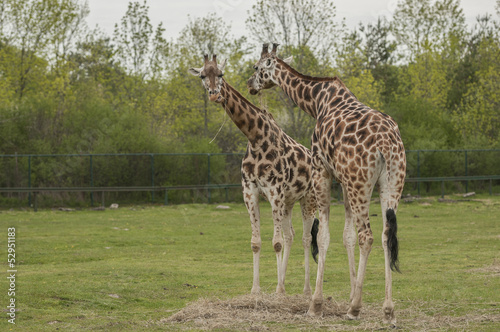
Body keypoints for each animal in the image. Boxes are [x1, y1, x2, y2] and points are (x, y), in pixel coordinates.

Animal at [188, 54, 320, 296]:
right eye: (202, 75)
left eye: (220, 73)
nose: (214, 94)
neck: (256, 137)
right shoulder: (250, 192)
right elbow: (256, 242)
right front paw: (257, 290)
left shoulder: (274, 191)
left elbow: (275, 242)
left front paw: (277, 290)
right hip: (288, 202)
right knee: (290, 235)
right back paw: (282, 284)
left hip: (308, 199)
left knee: (306, 238)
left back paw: (306, 290)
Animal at [246, 44, 406, 324]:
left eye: (257, 67)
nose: (250, 84)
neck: (317, 101)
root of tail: (386, 144)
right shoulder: (342, 180)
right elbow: (346, 235)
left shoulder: (322, 170)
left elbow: (322, 236)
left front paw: (316, 304)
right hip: (391, 184)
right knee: (386, 234)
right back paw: (388, 310)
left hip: (361, 183)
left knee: (368, 236)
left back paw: (355, 309)